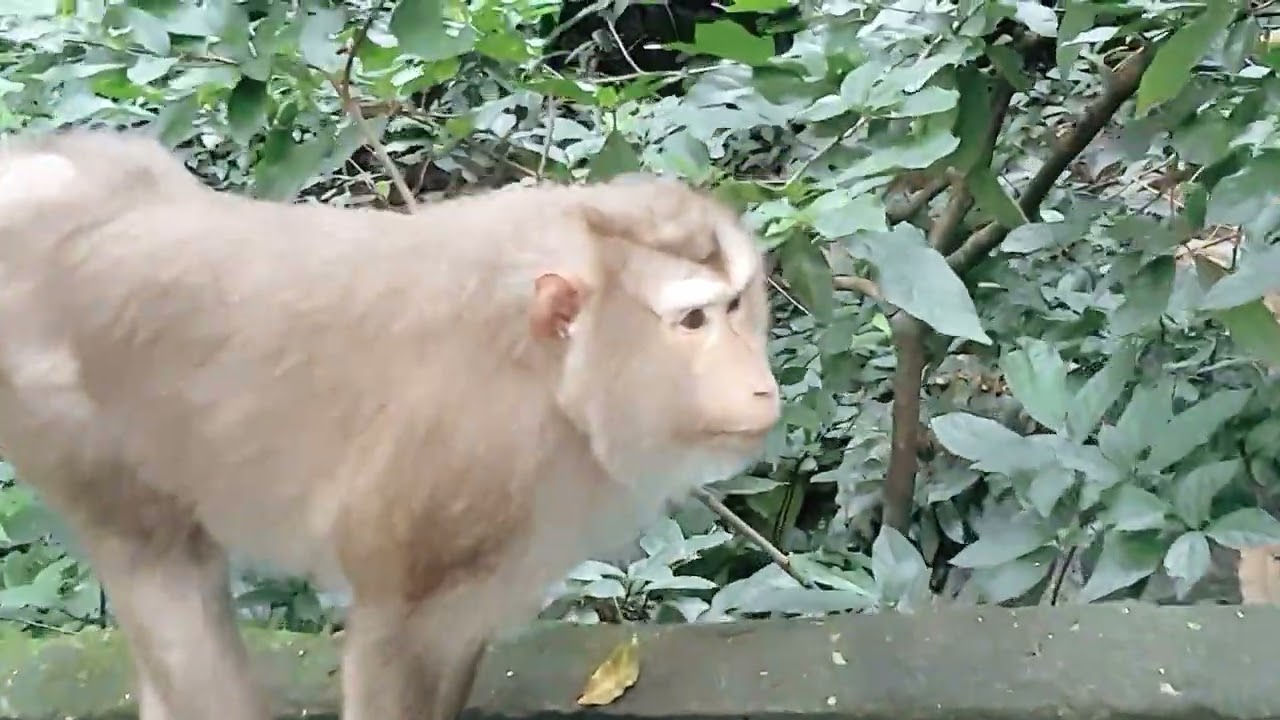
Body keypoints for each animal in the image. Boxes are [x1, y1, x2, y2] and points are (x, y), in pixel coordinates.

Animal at [0, 128, 780, 720]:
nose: (761, 386)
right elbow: (395, 634)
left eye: (738, 302)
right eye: (693, 321)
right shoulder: (459, 470)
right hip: (58, 417)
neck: (546, 375)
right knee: (160, 557)